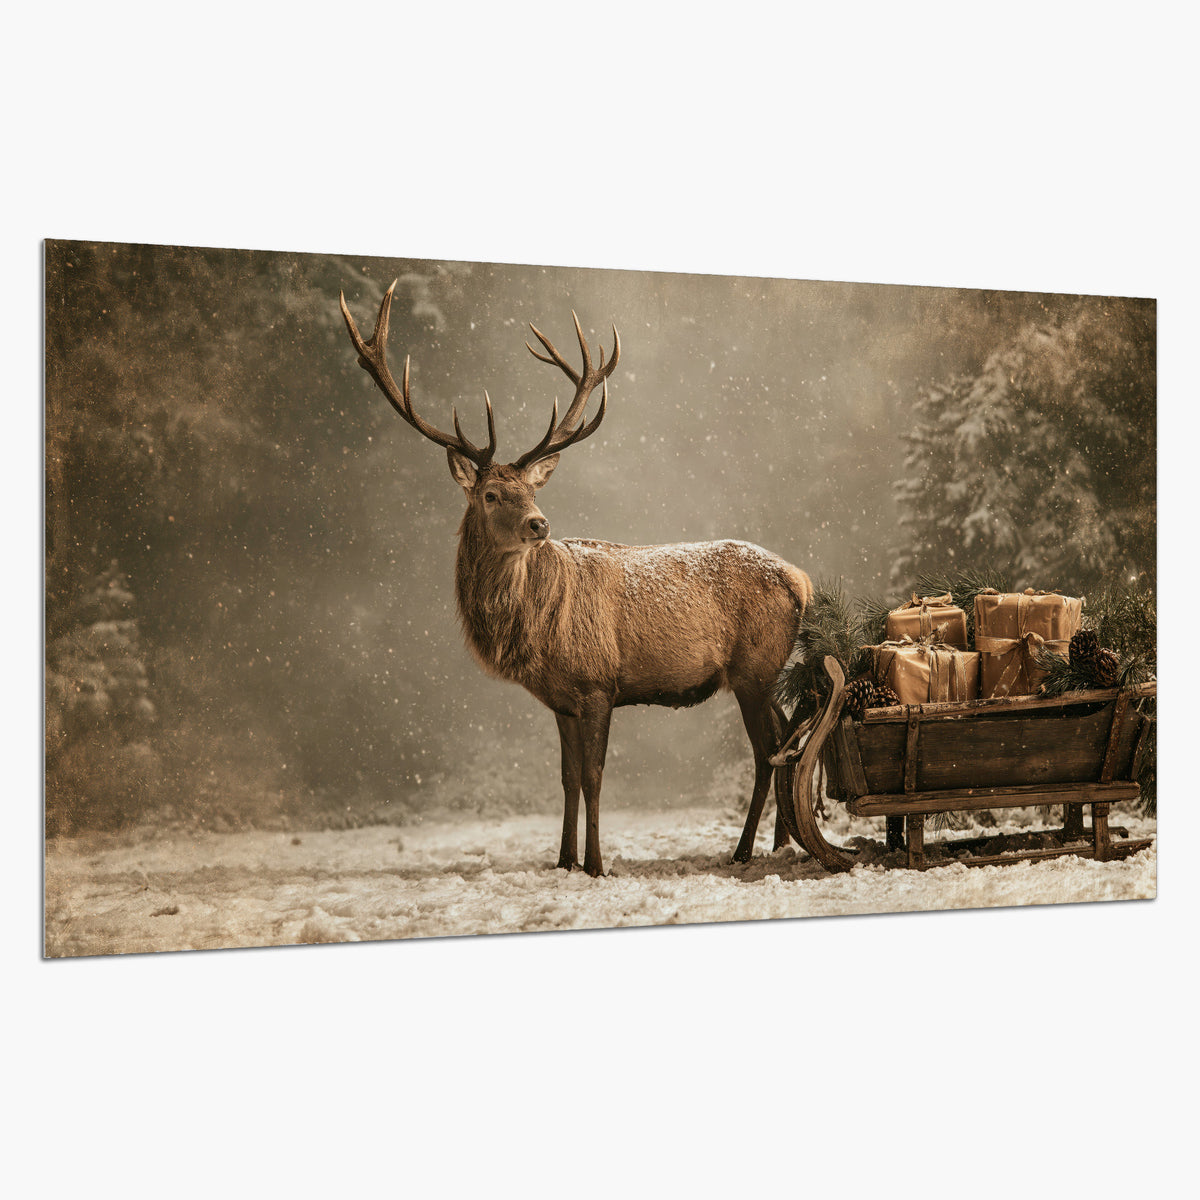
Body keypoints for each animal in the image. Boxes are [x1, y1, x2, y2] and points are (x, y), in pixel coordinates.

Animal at [339, 282, 813, 877]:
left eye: (531, 490)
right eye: (491, 494)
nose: (539, 524)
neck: (534, 635)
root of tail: (801, 579)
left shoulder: (597, 684)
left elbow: (593, 777)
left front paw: (596, 864)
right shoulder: (561, 699)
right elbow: (565, 779)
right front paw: (563, 861)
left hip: (753, 666)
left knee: (766, 749)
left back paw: (745, 849)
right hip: (761, 671)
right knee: (786, 732)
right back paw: (779, 843)